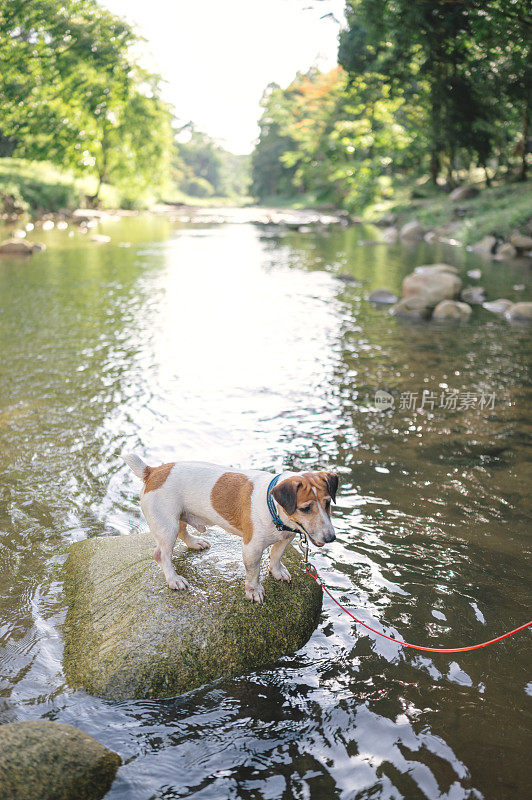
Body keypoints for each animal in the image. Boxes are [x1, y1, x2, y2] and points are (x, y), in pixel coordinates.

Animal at [124, 454, 338, 604]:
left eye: (328, 503)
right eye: (305, 509)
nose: (331, 538)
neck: (273, 507)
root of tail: (152, 471)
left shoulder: (286, 538)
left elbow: (276, 555)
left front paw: (277, 572)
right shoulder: (252, 548)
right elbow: (253, 572)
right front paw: (254, 591)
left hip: (178, 517)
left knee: (183, 532)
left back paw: (195, 542)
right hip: (167, 525)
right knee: (162, 554)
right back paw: (174, 579)